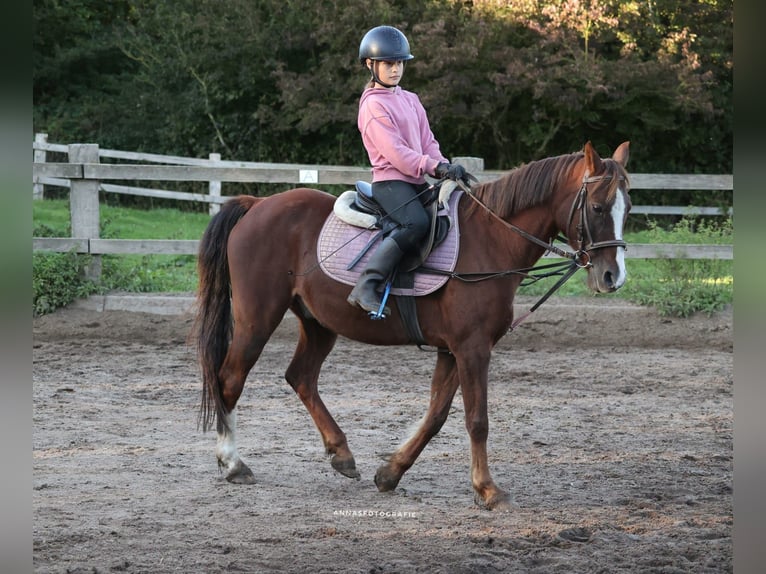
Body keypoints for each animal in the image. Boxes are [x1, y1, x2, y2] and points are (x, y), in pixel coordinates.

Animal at [192, 142, 632, 510]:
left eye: (627, 209)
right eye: (596, 208)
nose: (613, 277)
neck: (491, 239)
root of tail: (258, 204)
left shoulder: (453, 349)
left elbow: (436, 415)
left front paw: (390, 473)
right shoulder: (472, 347)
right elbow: (477, 420)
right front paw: (488, 490)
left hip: (318, 323)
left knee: (300, 377)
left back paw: (341, 454)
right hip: (257, 317)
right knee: (229, 379)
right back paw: (234, 464)